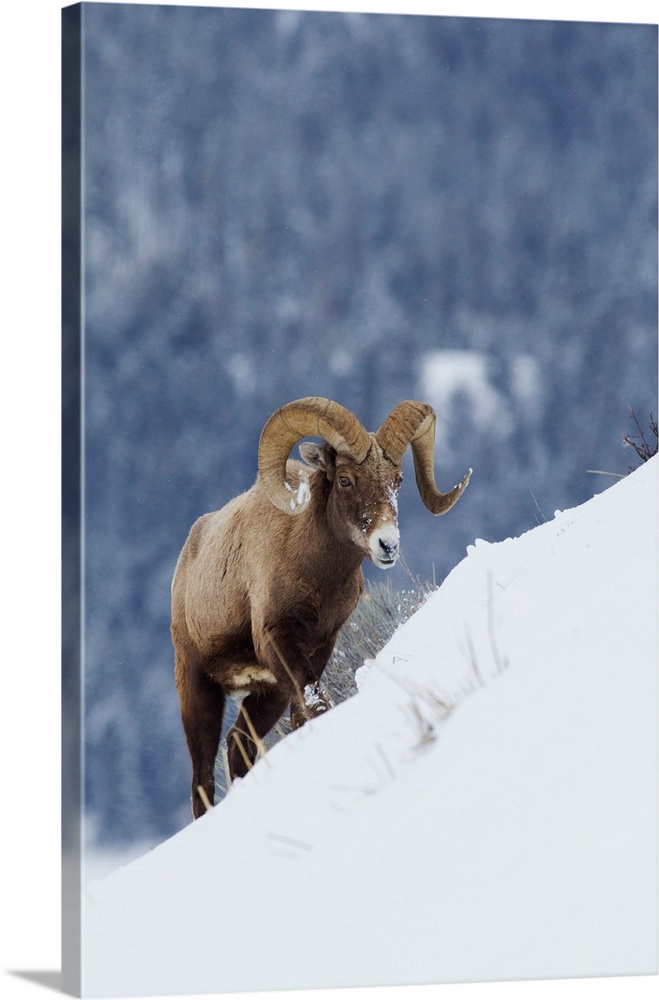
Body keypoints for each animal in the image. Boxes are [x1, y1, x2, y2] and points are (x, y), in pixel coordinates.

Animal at [171, 396, 471, 817]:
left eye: (397, 480)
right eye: (345, 480)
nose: (387, 544)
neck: (313, 572)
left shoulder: (319, 648)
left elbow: (306, 713)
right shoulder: (280, 643)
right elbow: (317, 703)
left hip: (268, 694)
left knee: (238, 744)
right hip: (197, 688)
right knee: (202, 779)